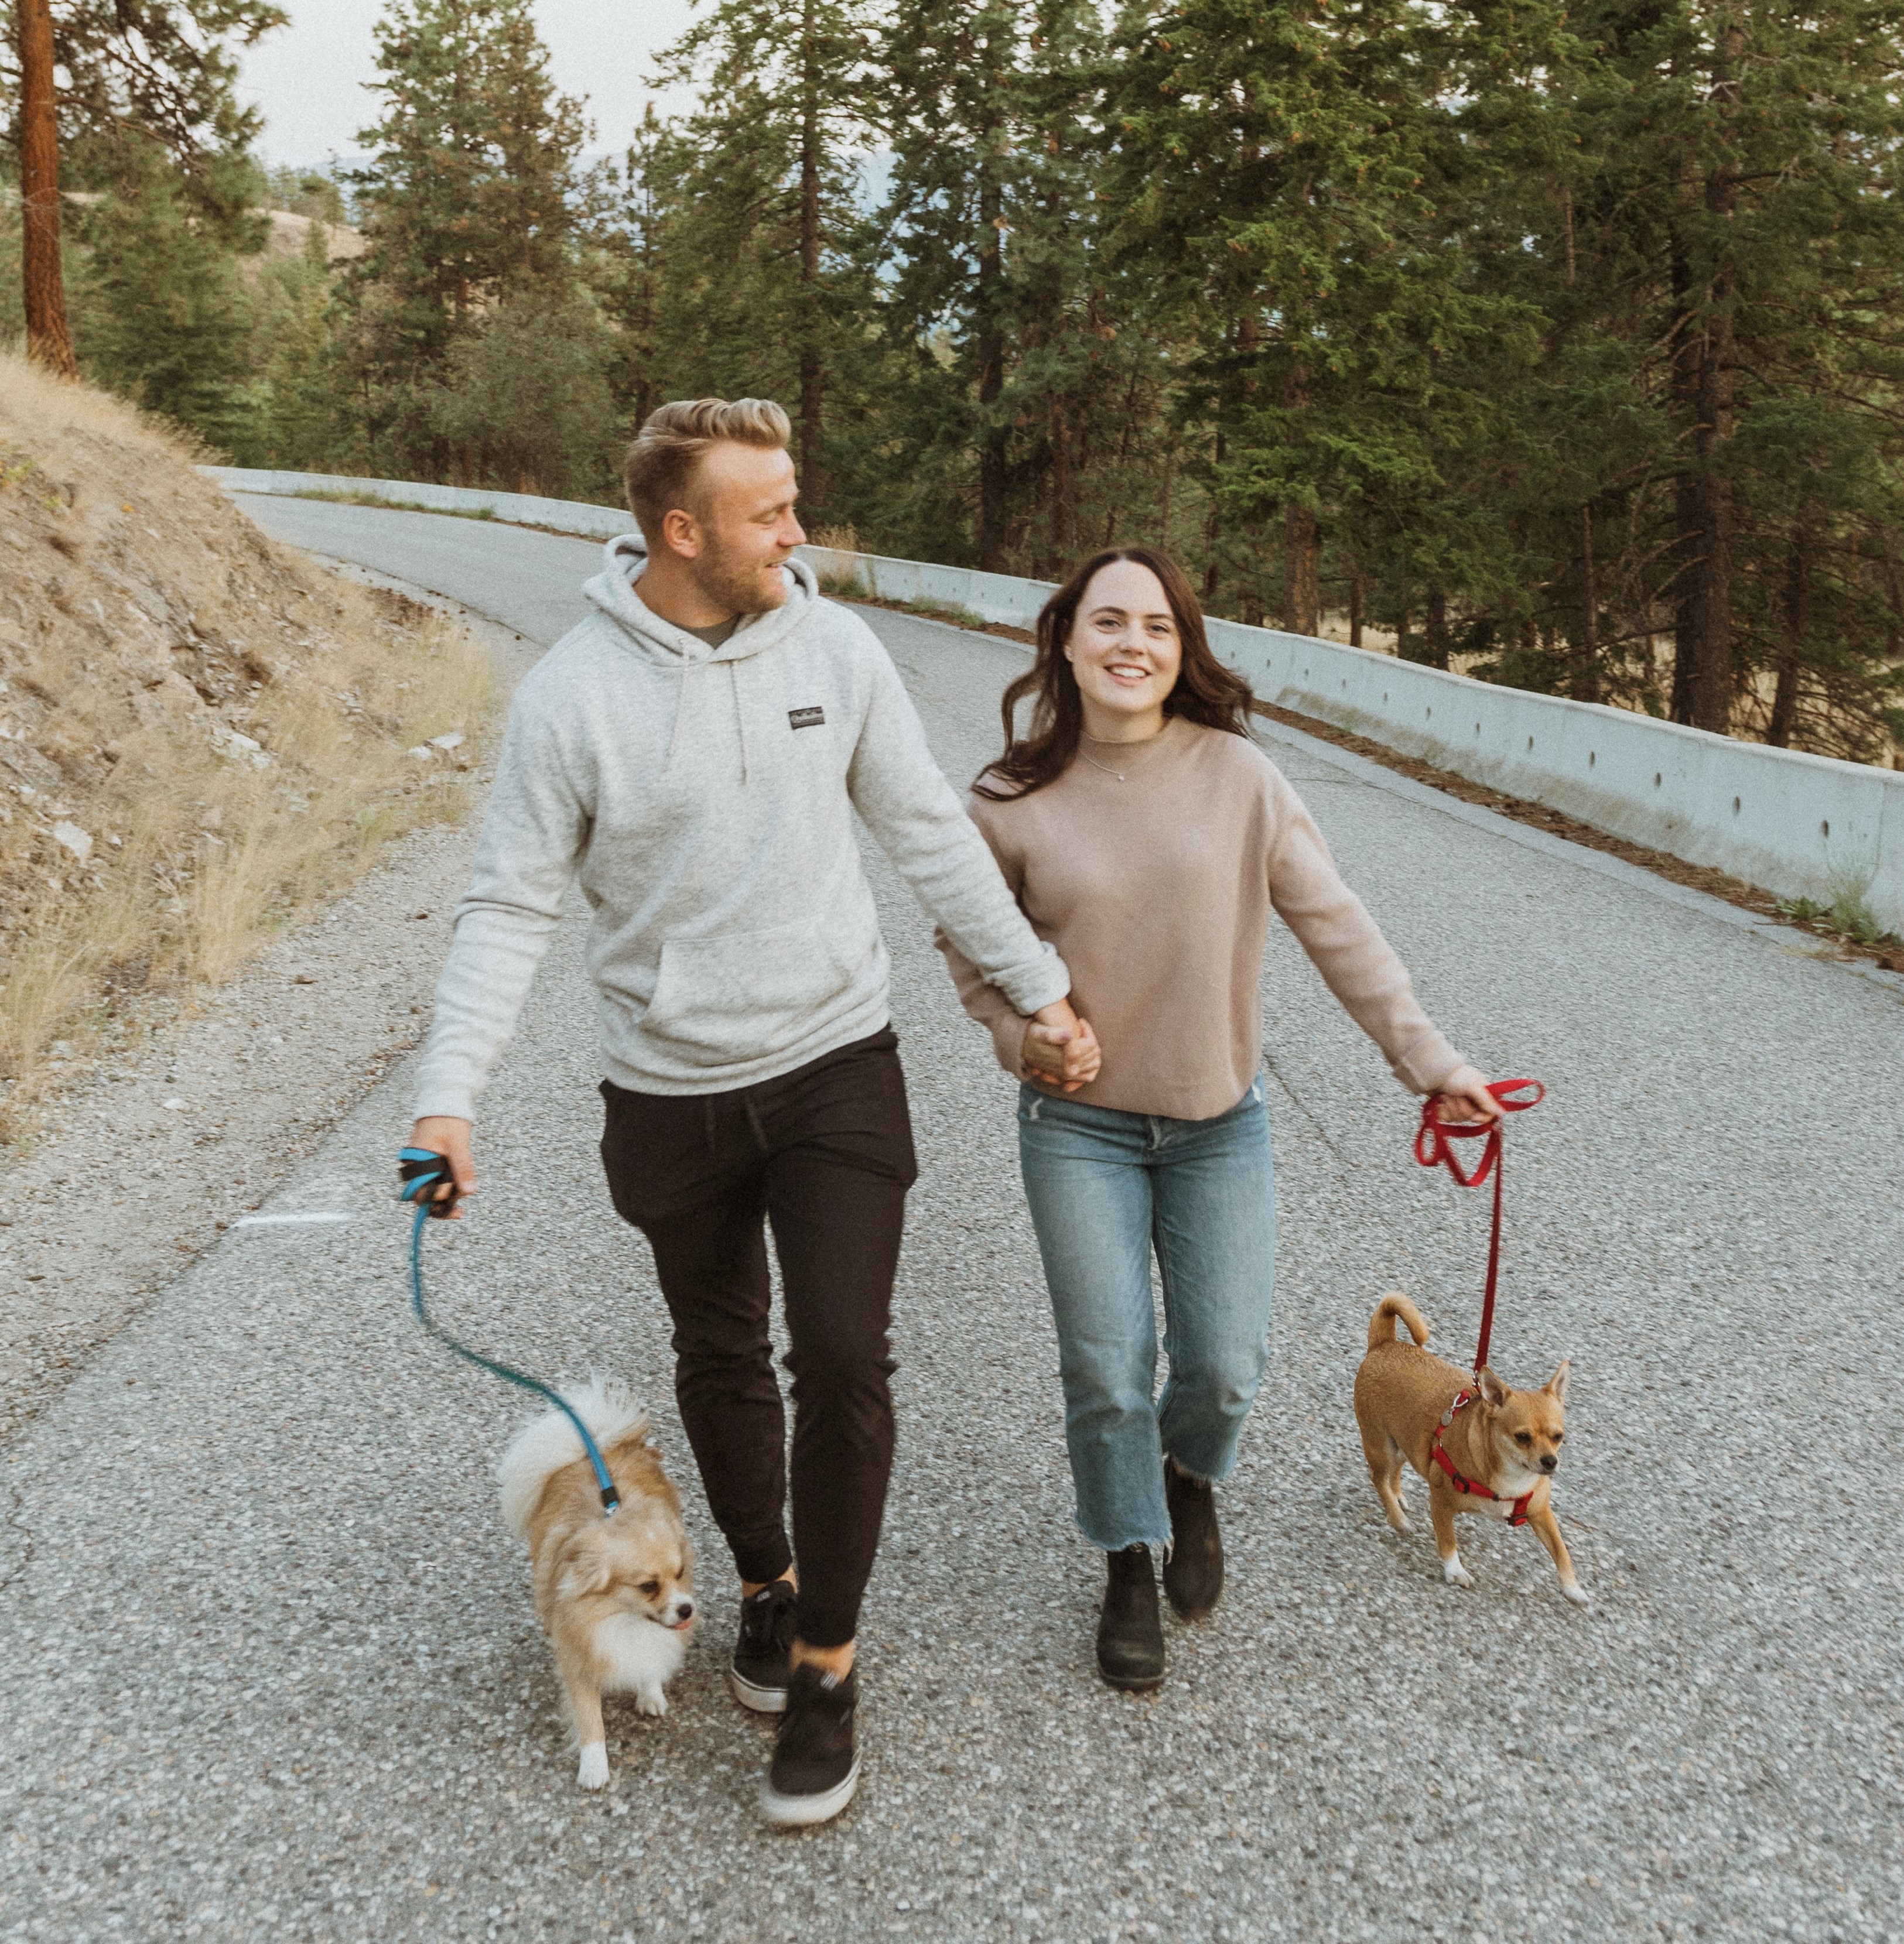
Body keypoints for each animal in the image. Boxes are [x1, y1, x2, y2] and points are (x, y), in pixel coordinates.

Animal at [495, 1384, 696, 1788]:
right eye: (648, 1586)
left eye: (680, 1572)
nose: (687, 1609)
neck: (620, 1618)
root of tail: (596, 1445)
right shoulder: (578, 1659)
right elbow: (590, 1720)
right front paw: (594, 1766)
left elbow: (650, 1658)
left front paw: (650, 1691)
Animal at [1353, 1291, 1595, 1609]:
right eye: (1522, 1437)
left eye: (1559, 1437)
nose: (1550, 1462)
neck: (1511, 1478)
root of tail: (1385, 1344)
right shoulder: (1442, 1505)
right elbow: (1448, 1542)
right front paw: (1455, 1571)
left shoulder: (1542, 1514)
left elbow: (1561, 1550)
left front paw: (1573, 1588)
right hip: (1381, 1446)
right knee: (1378, 1478)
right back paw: (1398, 1519)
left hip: (1404, 1443)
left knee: (1397, 1470)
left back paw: (1399, 1496)